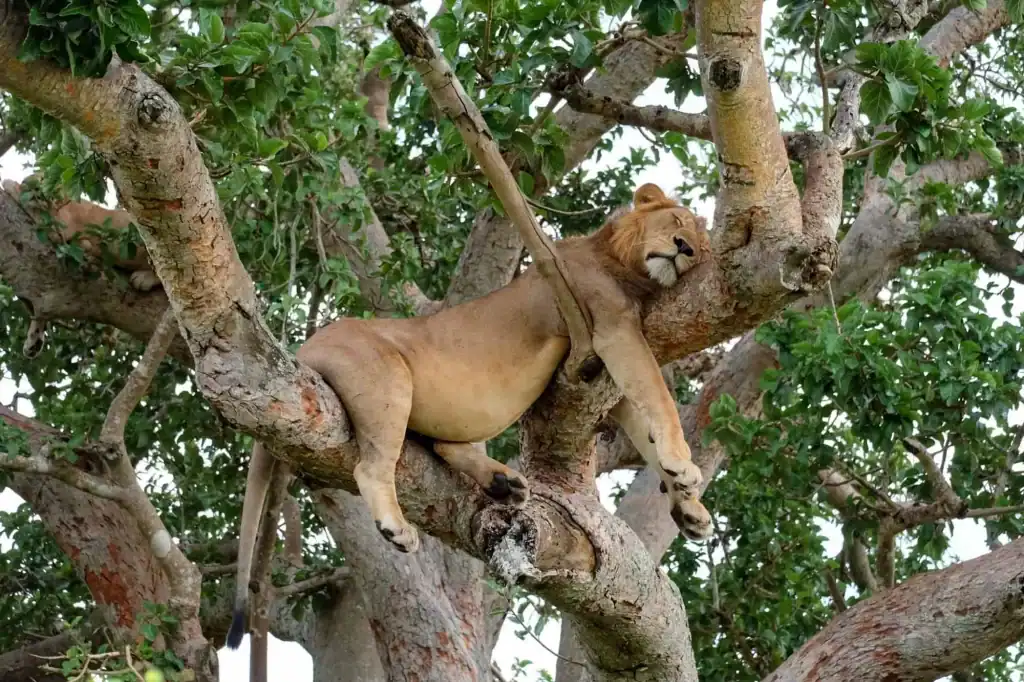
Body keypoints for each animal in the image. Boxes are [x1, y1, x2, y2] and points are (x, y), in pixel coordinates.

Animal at [227, 182, 715, 648]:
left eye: (701, 243)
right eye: (677, 221)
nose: (685, 249)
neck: (623, 261)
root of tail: (303, 348)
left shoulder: (606, 378)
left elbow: (644, 429)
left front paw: (688, 506)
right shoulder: (611, 329)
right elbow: (659, 399)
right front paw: (684, 465)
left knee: (440, 444)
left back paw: (503, 482)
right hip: (388, 377)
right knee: (372, 465)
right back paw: (399, 526)